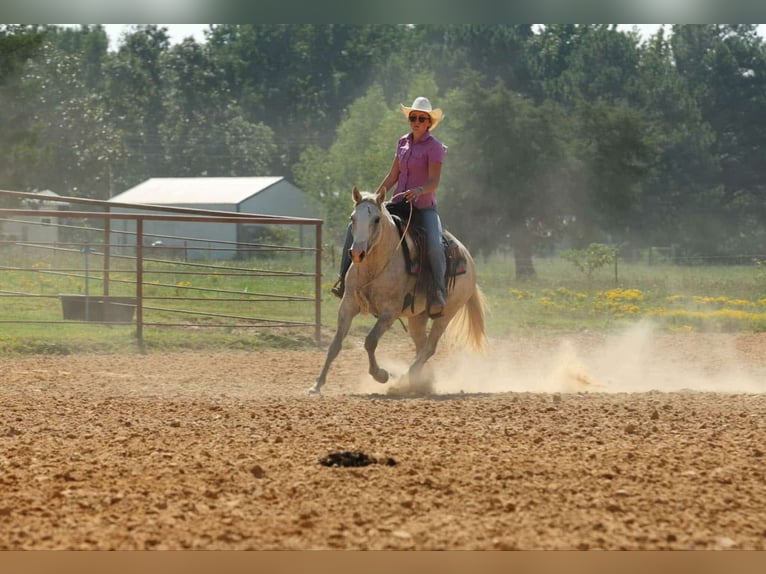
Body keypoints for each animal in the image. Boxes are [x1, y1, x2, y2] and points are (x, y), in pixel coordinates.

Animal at [308, 185, 488, 396]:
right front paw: (316, 385)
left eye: (376, 219)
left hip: (447, 313)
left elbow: (370, 341)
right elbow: (335, 344)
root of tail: (469, 259)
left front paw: (381, 375)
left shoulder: (390, 312)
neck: (374, 266)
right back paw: (422, 381)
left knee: (430, 347)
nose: (357, 253)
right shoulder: (348, 305)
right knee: (421, 345)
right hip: (417, 317)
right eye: (352, 218)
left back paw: (405, 379)